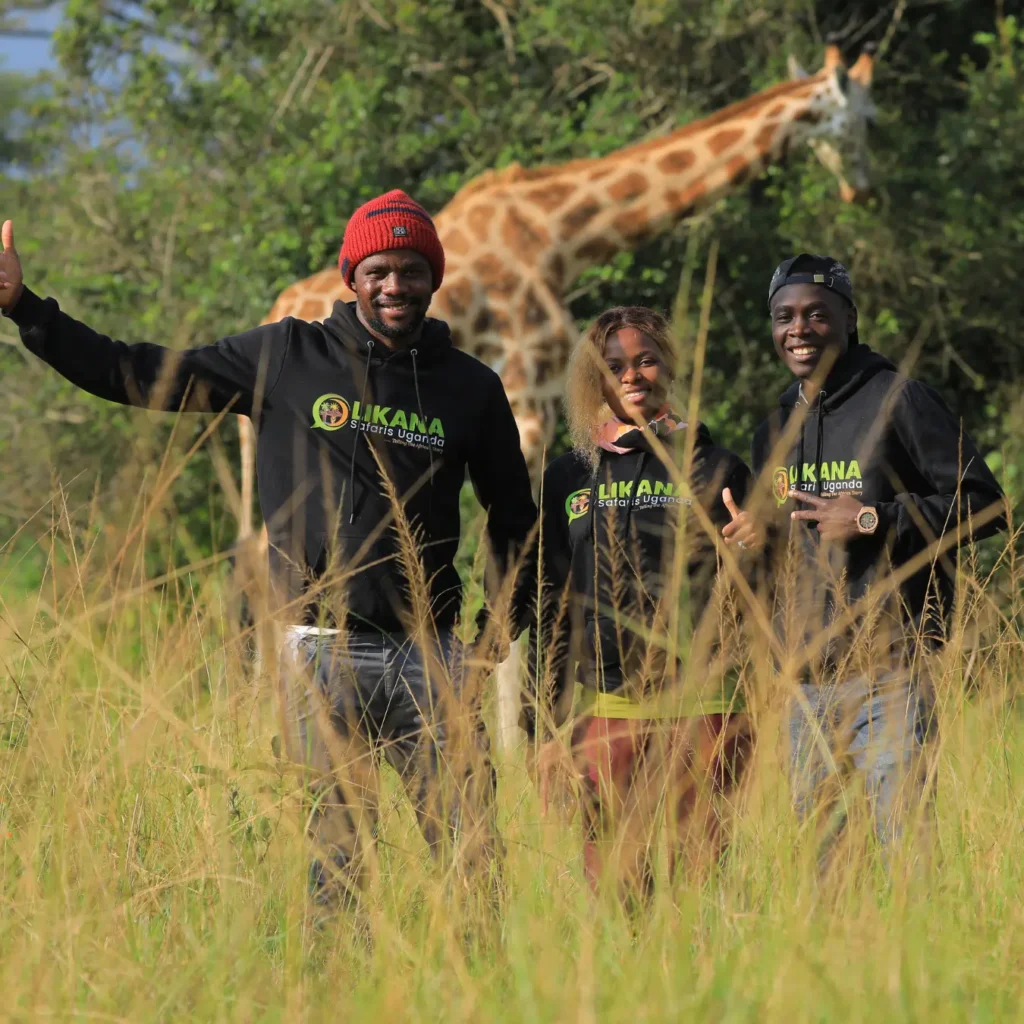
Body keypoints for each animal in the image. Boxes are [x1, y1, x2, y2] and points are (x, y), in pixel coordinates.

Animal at [232, 41, 872, 745]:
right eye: (859, 118)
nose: (860, 187)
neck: (561, 234)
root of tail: (273, 312)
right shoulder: (525, 394)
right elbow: (516, 561)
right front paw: (520, 744)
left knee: (253, 558)